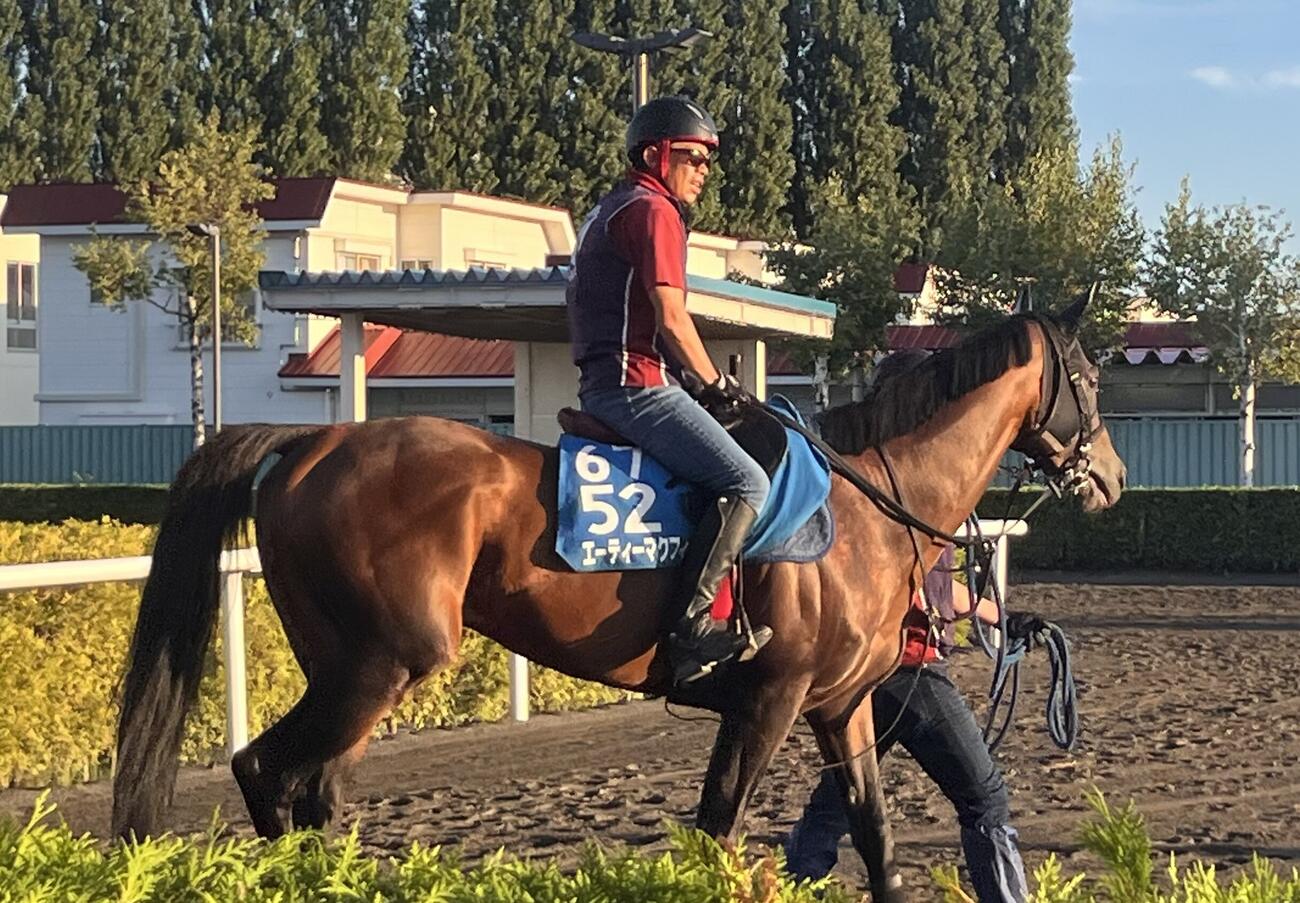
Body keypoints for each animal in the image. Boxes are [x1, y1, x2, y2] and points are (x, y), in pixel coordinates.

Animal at [111, 298, 1124, 901]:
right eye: (1090, 378)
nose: (1111, 475)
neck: (869, 501)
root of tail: (309, 443)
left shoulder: (842, 706)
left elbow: (873, 837)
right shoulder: (769, 700)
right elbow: (716, 830)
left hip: (353, 669)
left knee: (310, 789)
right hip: (379, 662)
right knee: (264, 769)